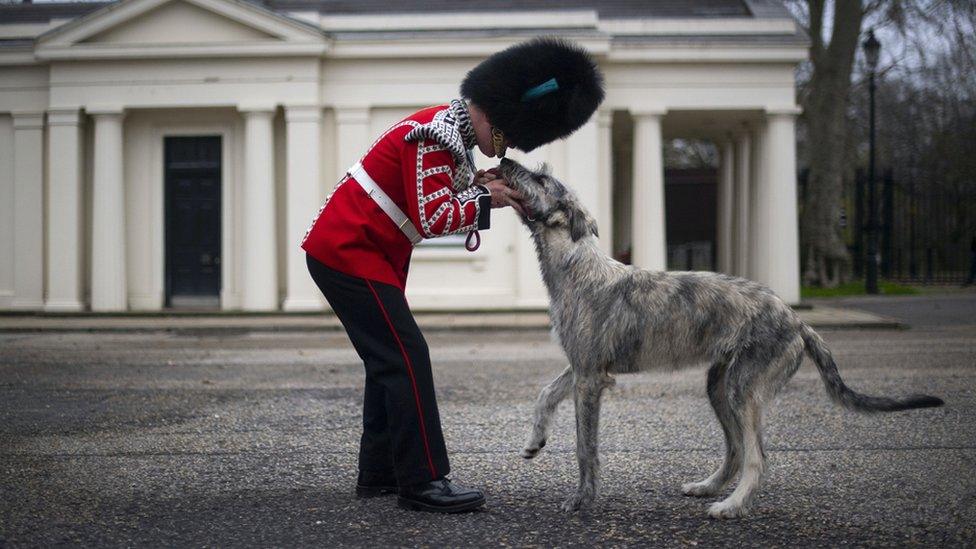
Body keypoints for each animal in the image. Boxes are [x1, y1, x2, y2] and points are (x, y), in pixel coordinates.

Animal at [500, 157, 940, 520]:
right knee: (736, 449)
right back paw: (709, 487)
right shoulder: (581, 367)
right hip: (720, 385)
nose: (504, 160)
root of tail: (798, 321)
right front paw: (535, 440)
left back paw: (730, 506)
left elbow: (585, 447)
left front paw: (581, 500)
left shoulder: (591, 377)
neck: (579, 267)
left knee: (757, 457)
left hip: (745, 389)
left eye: (541, 179)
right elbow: (545, 393)